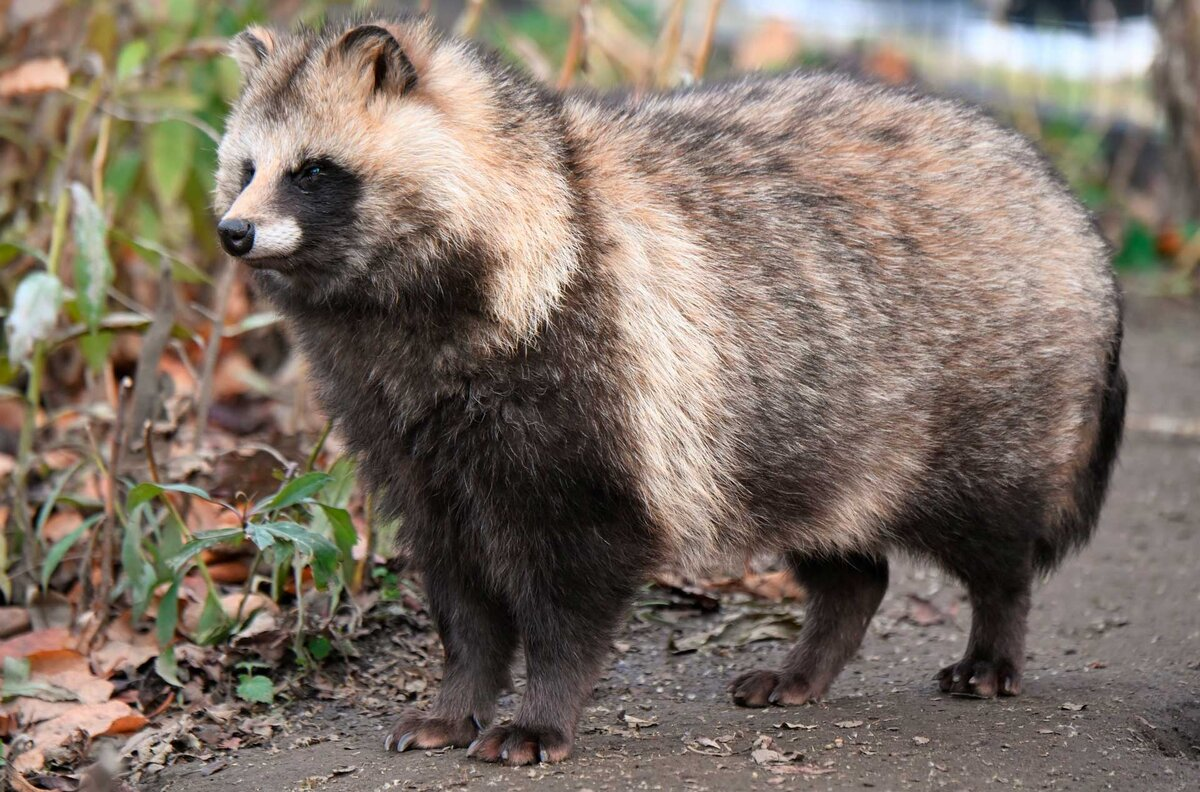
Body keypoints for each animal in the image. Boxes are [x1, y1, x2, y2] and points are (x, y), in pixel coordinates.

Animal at [216, 13, 1123, 768]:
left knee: (993, 537)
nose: (232, 231)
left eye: (314, 171)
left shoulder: (590, 384)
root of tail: (1063, 202)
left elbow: (570, 584)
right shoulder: (407, 433)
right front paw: (458, 697)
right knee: (846, 555)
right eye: (247, 168)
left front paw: (541, 711)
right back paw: (813, 654)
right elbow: (458, 585)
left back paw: (995, 636)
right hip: (807, 416)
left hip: (981, 398)